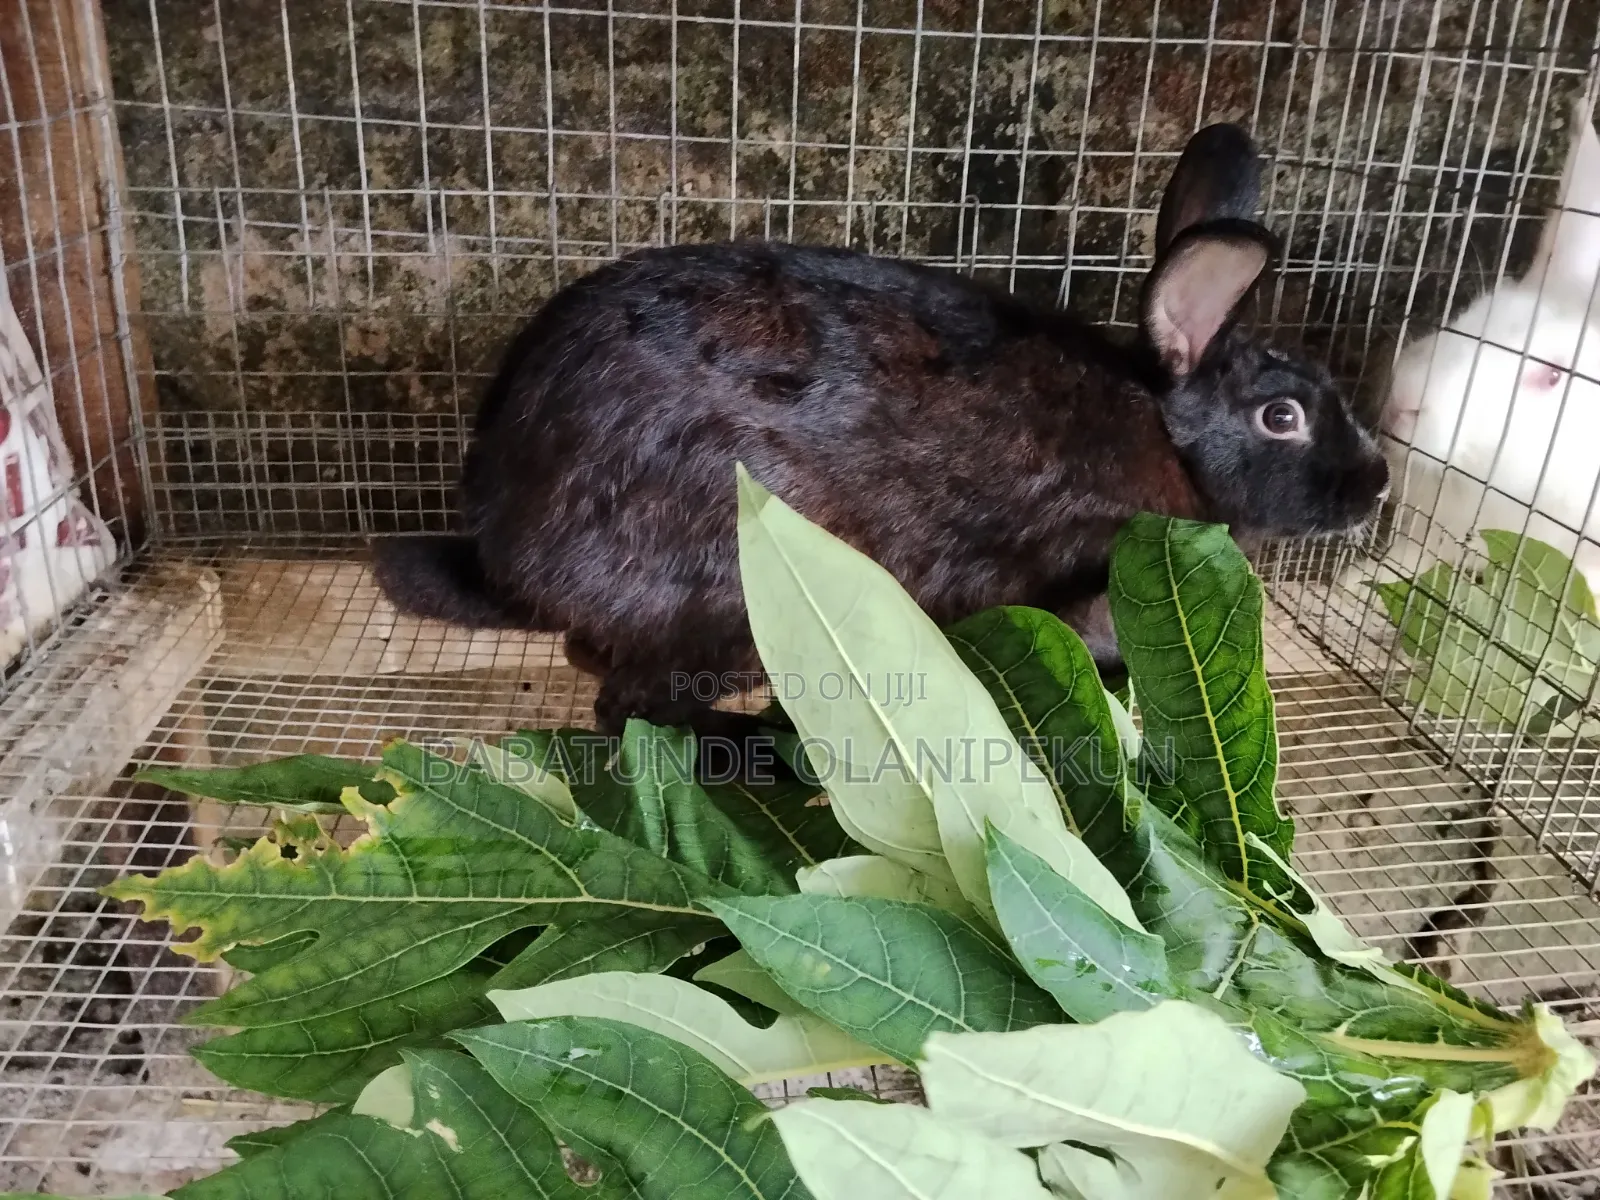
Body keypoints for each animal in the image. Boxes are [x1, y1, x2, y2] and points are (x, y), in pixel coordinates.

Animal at [373, 123, 1389, 739]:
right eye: (1283, 417)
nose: (1377, 486)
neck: (1166, 434)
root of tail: (506, 549)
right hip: (737, 586)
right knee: (631, 708)